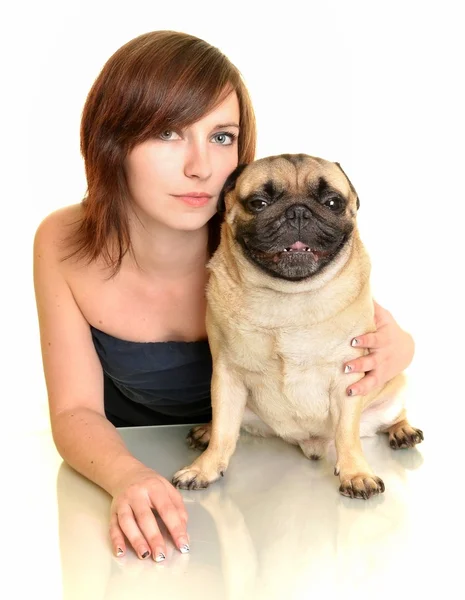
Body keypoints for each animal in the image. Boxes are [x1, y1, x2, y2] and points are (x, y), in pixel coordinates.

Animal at [172, 154, 422, 496]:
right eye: (259, 203)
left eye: (332, 202)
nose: (299, 212)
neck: (289, 298)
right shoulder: (227, 375)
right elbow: (225, 429)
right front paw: (205, 468)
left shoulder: (349, 378)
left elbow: (347, 433)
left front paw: (356, 473)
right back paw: (206, 432)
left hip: (395, 388)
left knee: (395, 415)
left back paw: (403, 430)